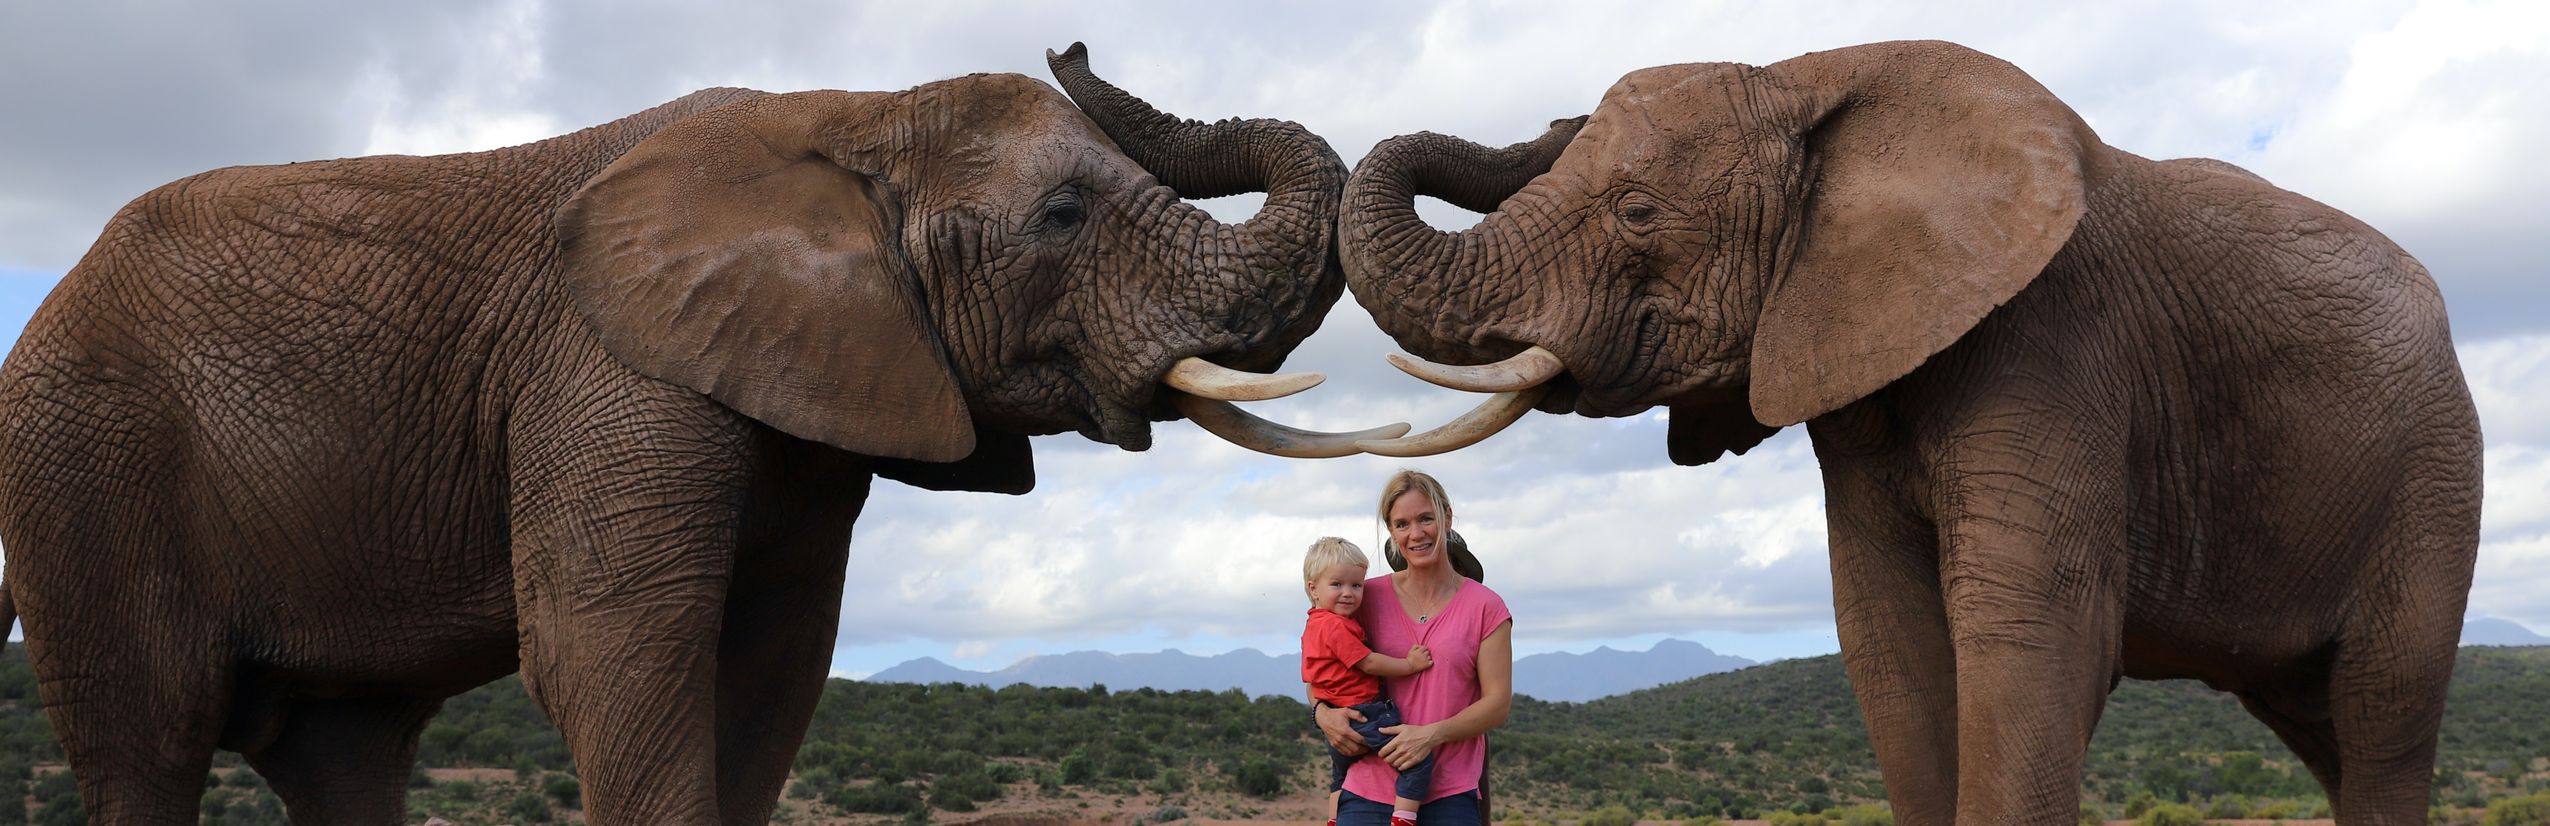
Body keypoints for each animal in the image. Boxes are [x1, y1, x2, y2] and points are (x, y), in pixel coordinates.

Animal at [0, 46, 1377, 826]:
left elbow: (771, 663)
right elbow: (609, 654)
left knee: (347, 754)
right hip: (81, 465)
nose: (1072, 41)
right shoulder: (604, 368)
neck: (851, 114)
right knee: (149, 744)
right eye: (1062, 215)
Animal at [1346, 40, 2478, 826]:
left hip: (2433, 469)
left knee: (2381, 709)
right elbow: (1889, 638)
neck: (1804, 77)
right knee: (2326, 727)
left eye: (1636, 212)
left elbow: (2026, 635)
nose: (1553, 111)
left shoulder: (2055, 345)